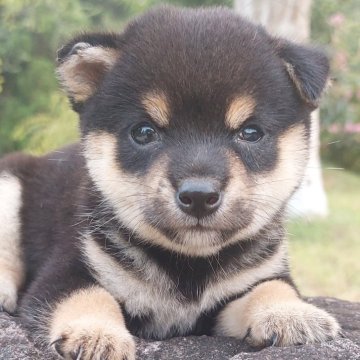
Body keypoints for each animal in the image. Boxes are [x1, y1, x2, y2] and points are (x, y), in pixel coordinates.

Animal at [0, 5, 340, 360]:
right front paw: (95, 333)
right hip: (9, 184)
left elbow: (272, 287)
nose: (199, 196)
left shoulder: (236, 294)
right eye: (144, 132)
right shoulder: (63, 271)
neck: (188, 269)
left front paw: (292, 313)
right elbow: (89, 295)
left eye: (250, 132)